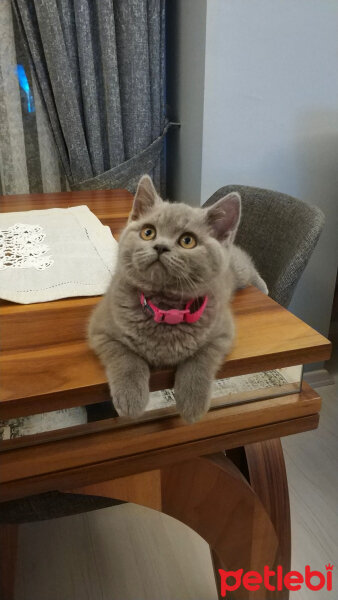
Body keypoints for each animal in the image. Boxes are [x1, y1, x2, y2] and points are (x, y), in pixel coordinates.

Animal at [88, 176, 268, 424]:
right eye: (148, 232)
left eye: (187, 241)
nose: (160, 246)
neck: (165, 308)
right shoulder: (100, 329)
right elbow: (126, 357)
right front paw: (131, 397)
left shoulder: (223, 332)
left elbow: (200, 359)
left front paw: (192, 403)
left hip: (237, 270)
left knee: (248, 264)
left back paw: (264, 286)